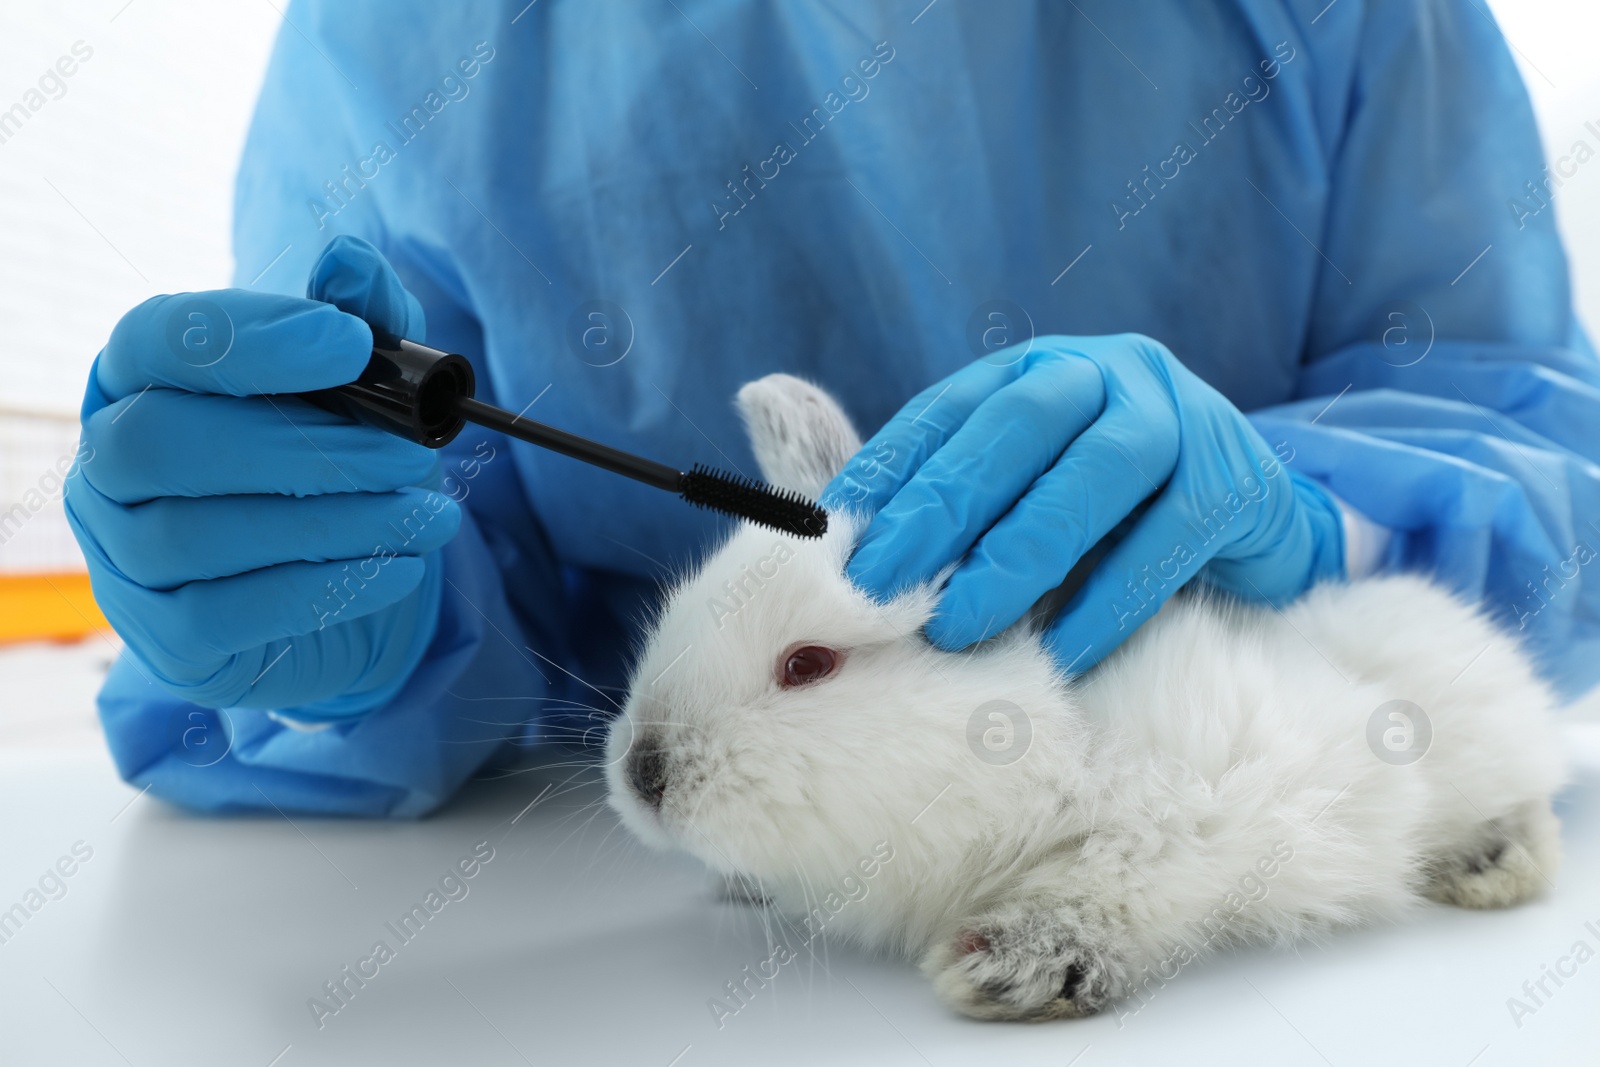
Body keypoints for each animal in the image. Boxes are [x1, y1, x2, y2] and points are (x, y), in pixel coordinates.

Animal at [604, 371, 1568, 1023]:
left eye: (808, 664)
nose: (642, 775)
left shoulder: (1220, 800)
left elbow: (1121, 876)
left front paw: (1009, 964)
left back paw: (1493, 866)